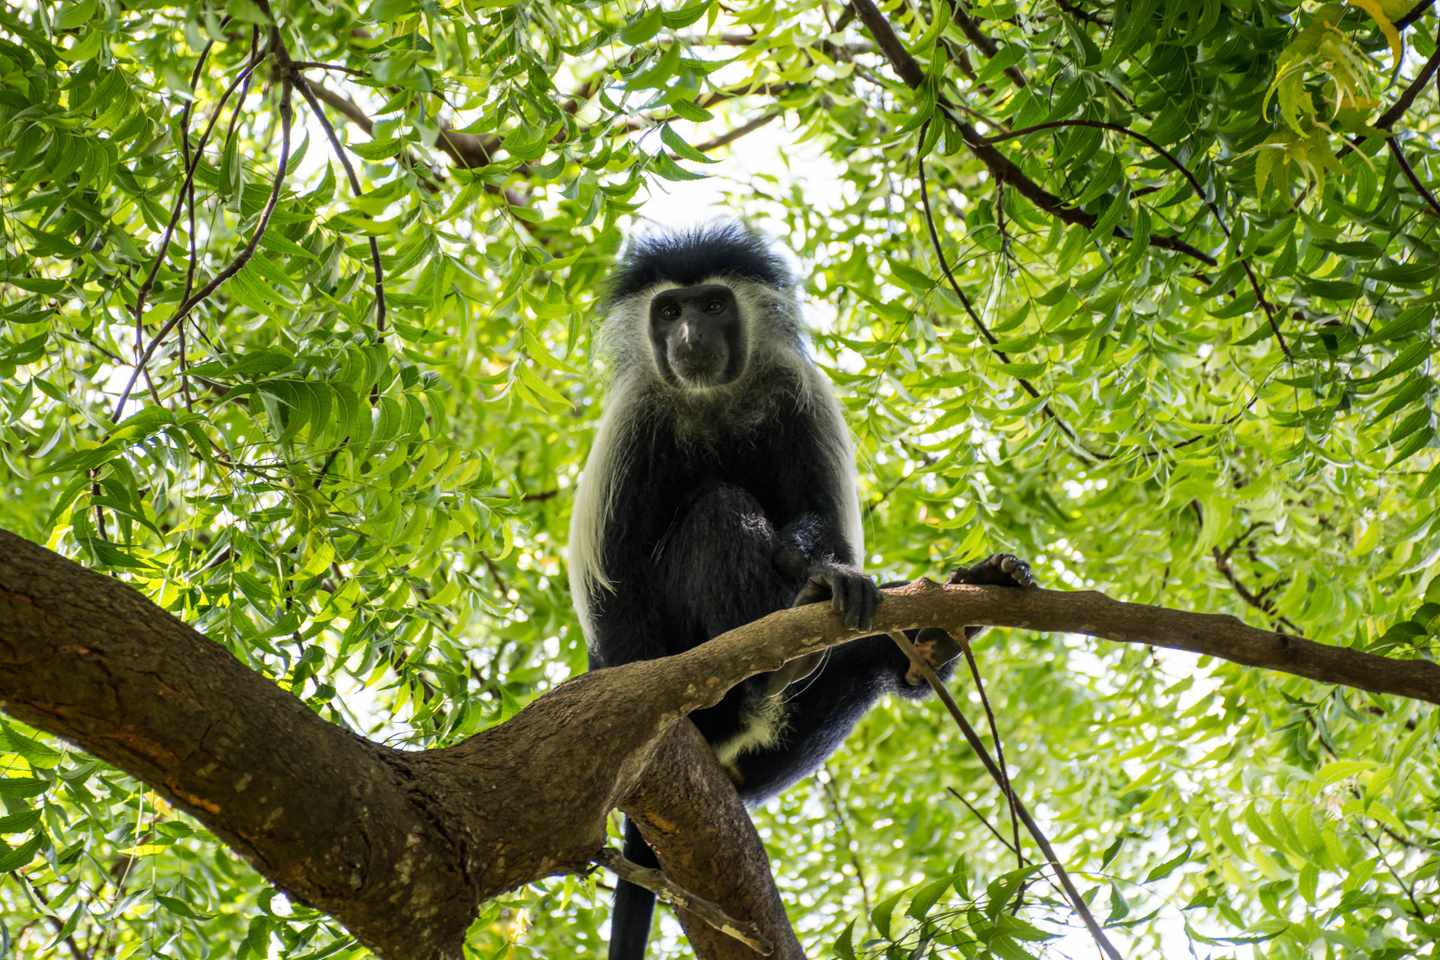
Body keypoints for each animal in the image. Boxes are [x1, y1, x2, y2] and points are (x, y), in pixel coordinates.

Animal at [567, 221, 1035, 960]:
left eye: (712, 305)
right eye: (668, 311)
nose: (688, 336)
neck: (714, 402)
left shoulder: (802, 397)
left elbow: (827, 527)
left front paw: (817, 563)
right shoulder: (633, 427)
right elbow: (616, 584)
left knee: (873, 655)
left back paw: (931, 630)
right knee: (715, 512)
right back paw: (757, 678)